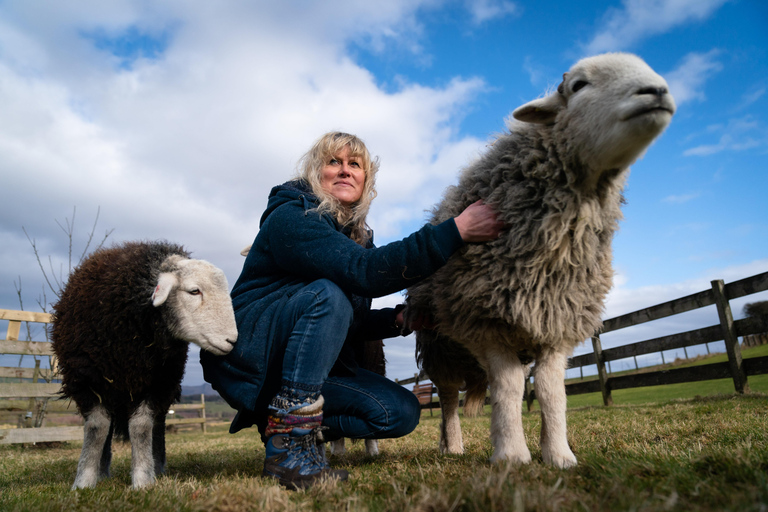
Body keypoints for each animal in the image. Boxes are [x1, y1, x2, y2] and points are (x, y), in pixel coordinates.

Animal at [51, 242, 237, 490]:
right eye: (194, 291)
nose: (232, 341)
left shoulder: (154, 383)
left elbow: (141, 427)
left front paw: (142, 480)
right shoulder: (87, 382)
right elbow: (97, 428)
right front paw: (84, 481)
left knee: (157, 426)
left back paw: (156, 467)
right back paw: (103, 472)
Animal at [404, 53, 676, 468]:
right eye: (578, 85)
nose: (657, 91)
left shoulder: (557, 324)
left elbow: (550, 391)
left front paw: (559, 454)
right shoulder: (486, 322)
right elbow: (510, 388)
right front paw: (512, 454)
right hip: (441, 343)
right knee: (448, 397)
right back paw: (452, 444)